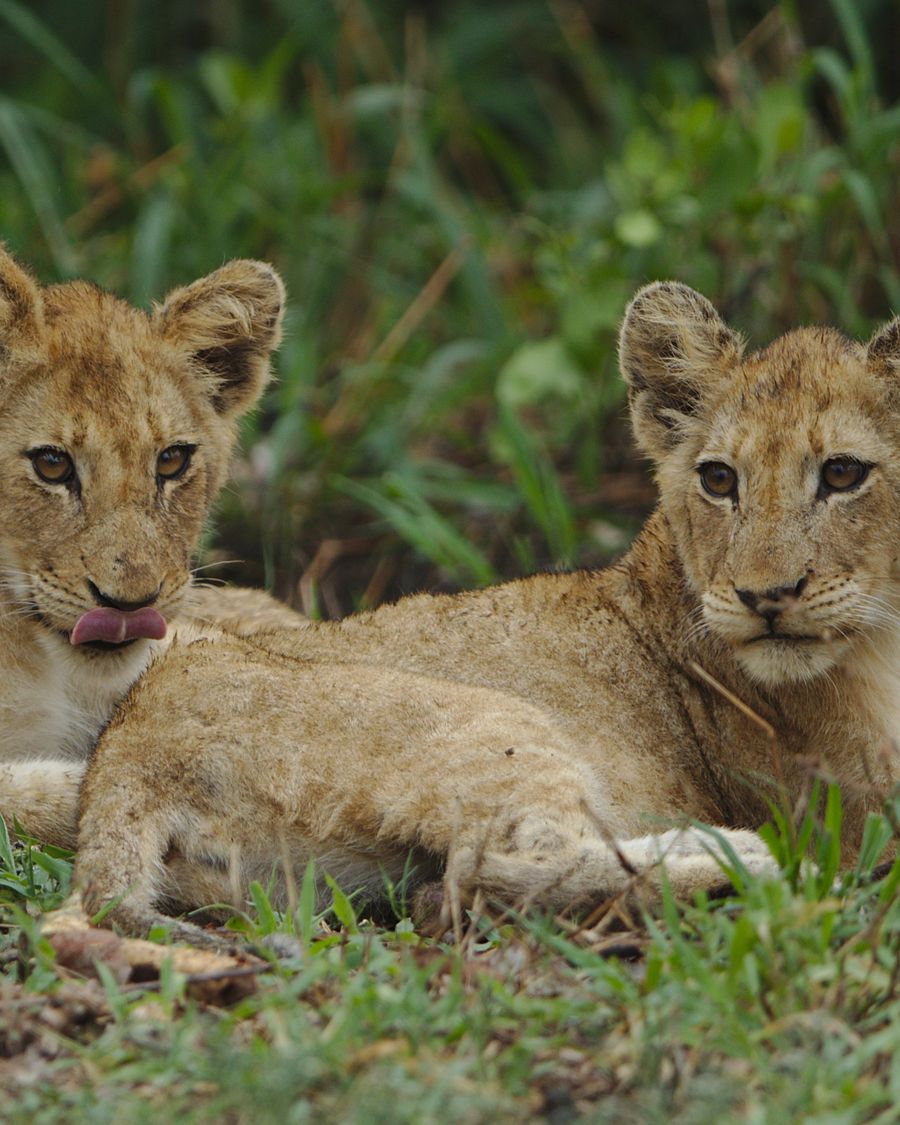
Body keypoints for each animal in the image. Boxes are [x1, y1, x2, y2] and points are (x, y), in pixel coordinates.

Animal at [66, 281, 899, 948]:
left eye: (843, 474)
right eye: (720, 479)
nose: (765, 596)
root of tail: (121, 759)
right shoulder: (853, 810)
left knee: (445, 889)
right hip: (489, 721)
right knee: (488, 871)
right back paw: (744, 861)